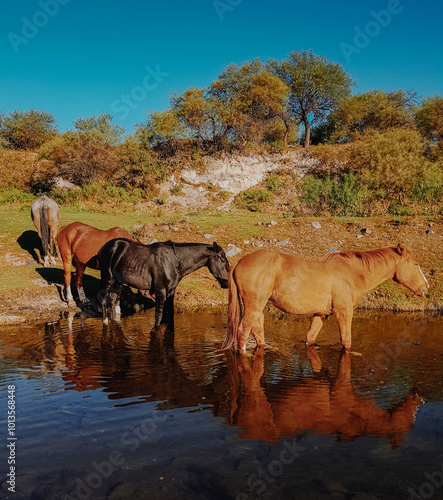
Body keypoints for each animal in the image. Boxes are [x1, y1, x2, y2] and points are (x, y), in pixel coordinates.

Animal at [98, 240, 231, 330]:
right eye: (222, 259)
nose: (227, 283)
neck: (173, 261)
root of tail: (105, 246)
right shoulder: (160, 291)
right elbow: (158, 317)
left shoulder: (171, 291)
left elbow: (169, 313)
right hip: (107, 278)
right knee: (103, 299)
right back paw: (105, 321)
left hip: (117, 282)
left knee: (112, 302)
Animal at [222, 244, 430, 350]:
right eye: (415, 263)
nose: (425, 287)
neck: (353, 272)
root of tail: (239, 262)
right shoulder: (344, 313)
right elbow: (346, 341)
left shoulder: (320, 314)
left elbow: (310, 338)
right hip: (253, 308)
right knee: (242, 332)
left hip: (258, 309)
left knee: (257, 331)